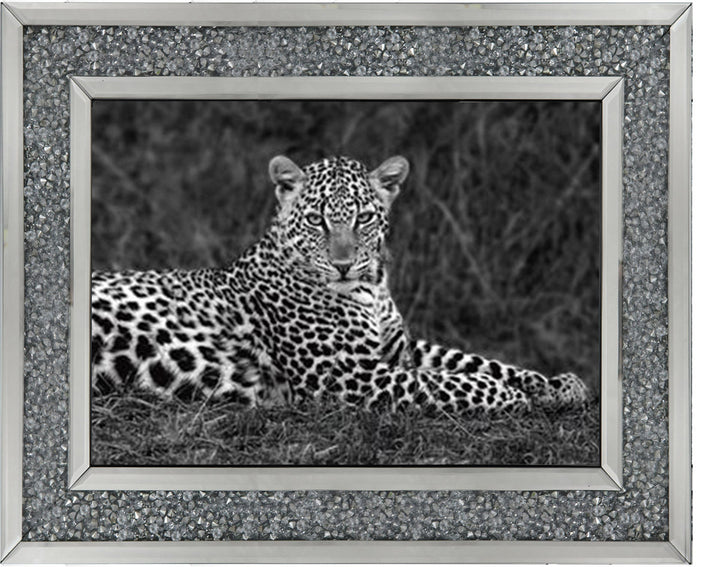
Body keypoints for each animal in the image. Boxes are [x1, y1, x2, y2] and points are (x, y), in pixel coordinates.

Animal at [91, 155, 590, 415]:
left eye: (363, 218)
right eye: (317, 220)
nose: (344, 265)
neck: (372, 288)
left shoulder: (399, 348)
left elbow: (471, 361)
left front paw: (556, 384)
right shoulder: (346, 374)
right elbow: (447, 383)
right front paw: (513, 395)